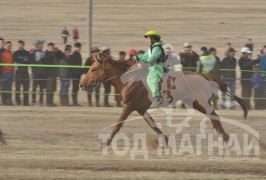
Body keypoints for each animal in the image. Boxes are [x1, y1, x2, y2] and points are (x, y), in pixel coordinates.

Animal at [79, 54, 247, 146]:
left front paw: (106, 143)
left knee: (214, 116)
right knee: (214, 117)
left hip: (201, 103)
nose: (82, 84)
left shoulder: (128, 106)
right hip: (196, 104)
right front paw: (165, 140)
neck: (129, 80)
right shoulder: (141, 109)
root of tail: (204, 75)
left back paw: (226, 139)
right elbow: (153, 125)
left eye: (93, 69)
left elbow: (117, 126)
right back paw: (223, 137)